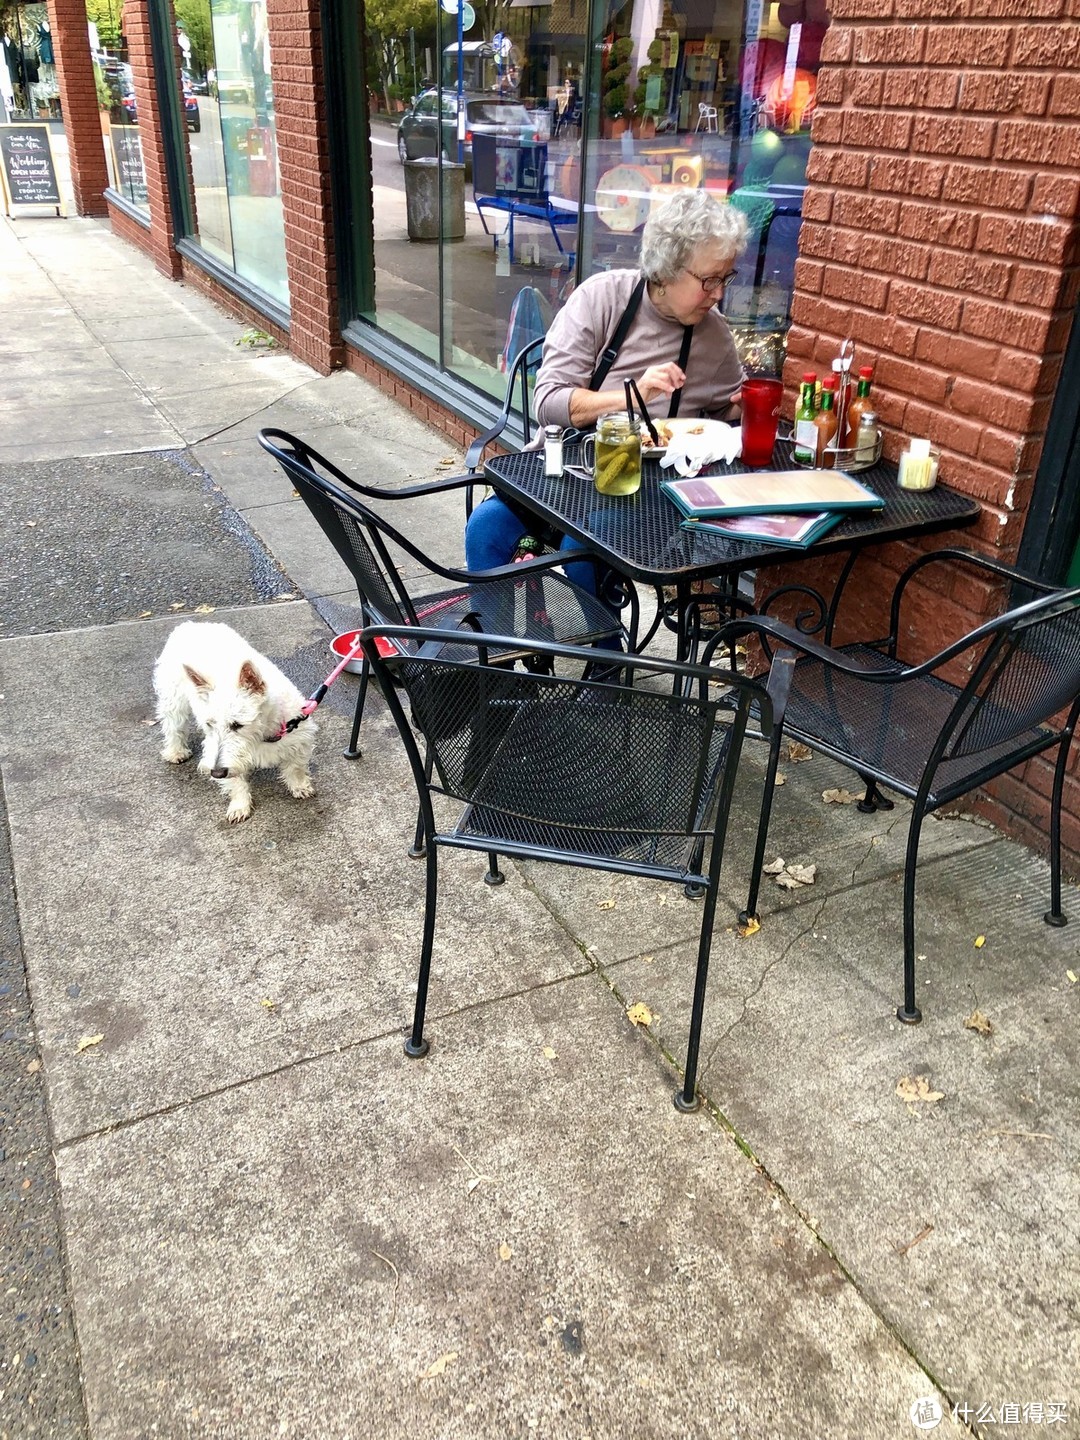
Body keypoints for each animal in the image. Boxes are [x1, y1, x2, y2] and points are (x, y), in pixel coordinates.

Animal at [154, 619, 319, 823]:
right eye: (209, 724)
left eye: (237, 725)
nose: (215, 773)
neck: (262, 733)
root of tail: (189, 624)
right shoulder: (223, 757)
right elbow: (235, 781)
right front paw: (240, 806)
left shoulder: (299, 735)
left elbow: (295, 768)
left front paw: (300, 786)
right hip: (173, 700)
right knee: (173, 726)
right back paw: (176, 752)